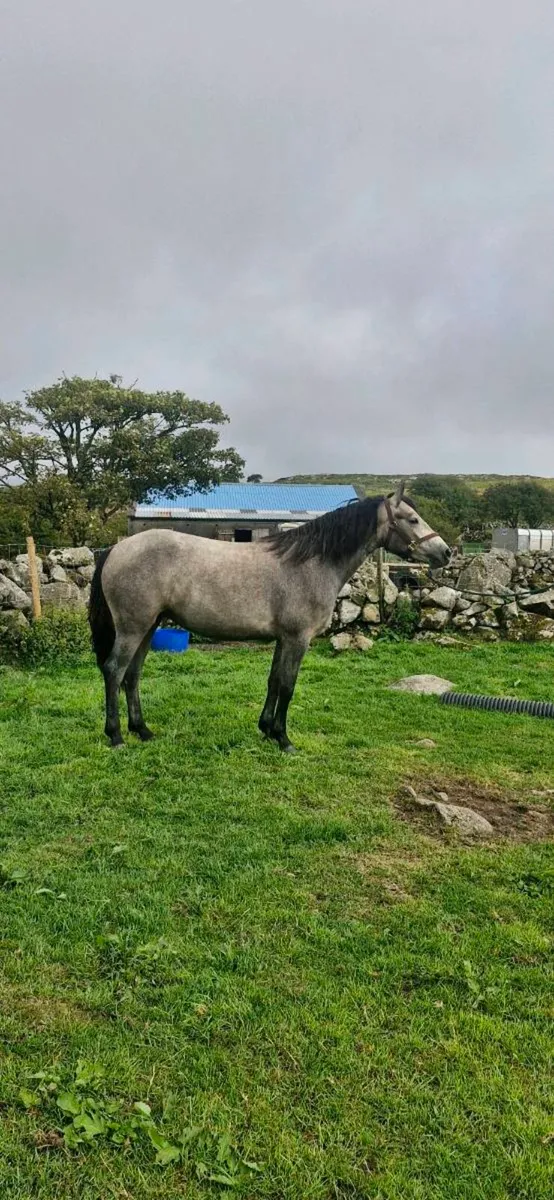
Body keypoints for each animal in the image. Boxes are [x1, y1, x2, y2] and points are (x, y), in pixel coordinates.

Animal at [88, 482, 451, 753]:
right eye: (412, 519)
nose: (445, 553)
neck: (311, 563)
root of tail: (116, 549)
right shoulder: (298, 639)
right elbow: (288, 685)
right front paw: (283, 738)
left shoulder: (283, 639)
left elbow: (274, 681)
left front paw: (265, 729)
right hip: (133, 628)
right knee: (114, 671)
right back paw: (116, 735)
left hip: (148, 627)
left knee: (132, 676)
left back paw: (142, 730)